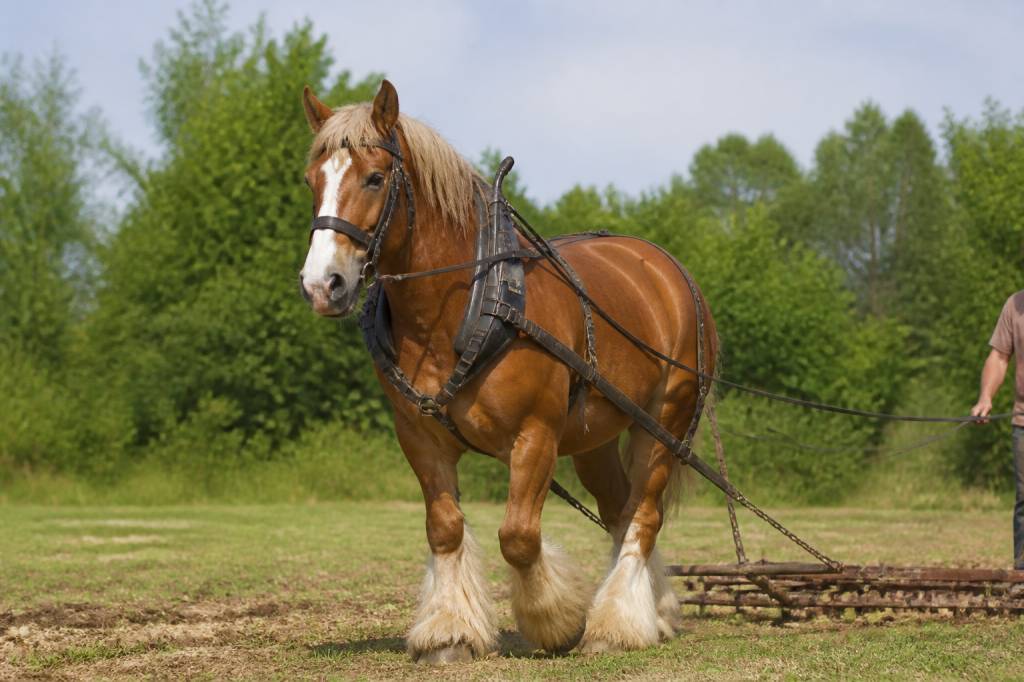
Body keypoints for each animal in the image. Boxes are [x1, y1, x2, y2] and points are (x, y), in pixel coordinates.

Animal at [298, 80, 717, 663]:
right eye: (312, 180)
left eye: (375, 178)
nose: (322, 284)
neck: (465, 306)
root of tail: (667, 269)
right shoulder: (419, 436)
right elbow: (445, 528)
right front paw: (450, 631)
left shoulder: (535, 434)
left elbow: (518, 536)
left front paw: (555, 620)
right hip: (594, 438)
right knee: (619, 510)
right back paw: (651, 611)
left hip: (665, 421)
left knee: (644, 515)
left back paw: (614, 624)